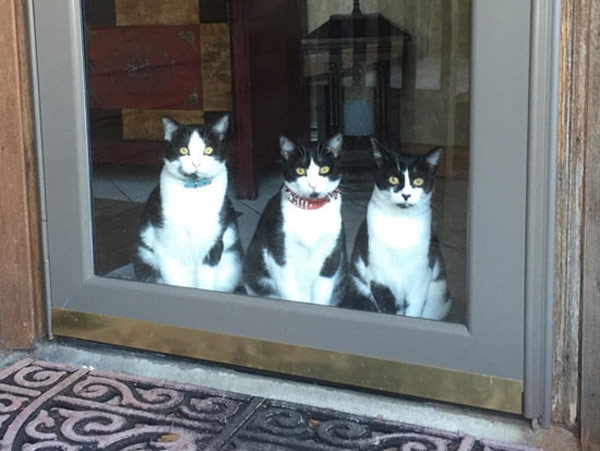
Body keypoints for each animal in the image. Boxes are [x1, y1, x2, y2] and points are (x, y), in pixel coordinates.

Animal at [132, 115, 243, 294]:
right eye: (184, 150)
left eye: (208, 150)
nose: (196, 163)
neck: (193, 193)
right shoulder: (165, 244)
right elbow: (175, 280)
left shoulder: (213, 243)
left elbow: (206, 281)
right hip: (143, 256)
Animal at [243, 132, 346, 306]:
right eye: (300, 170)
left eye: (324, 169)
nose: (313, 185)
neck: (310, 211)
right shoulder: (278, 253)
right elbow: (289, 291)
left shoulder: (333, 254)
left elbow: (322, 293)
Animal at [342, 139, 450, 320]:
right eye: (393, 179)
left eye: (418, 181)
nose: (406, 195)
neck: (400, 224)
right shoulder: (378, 276)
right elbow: (386, 306)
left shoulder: (421, 276)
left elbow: (414, 309)